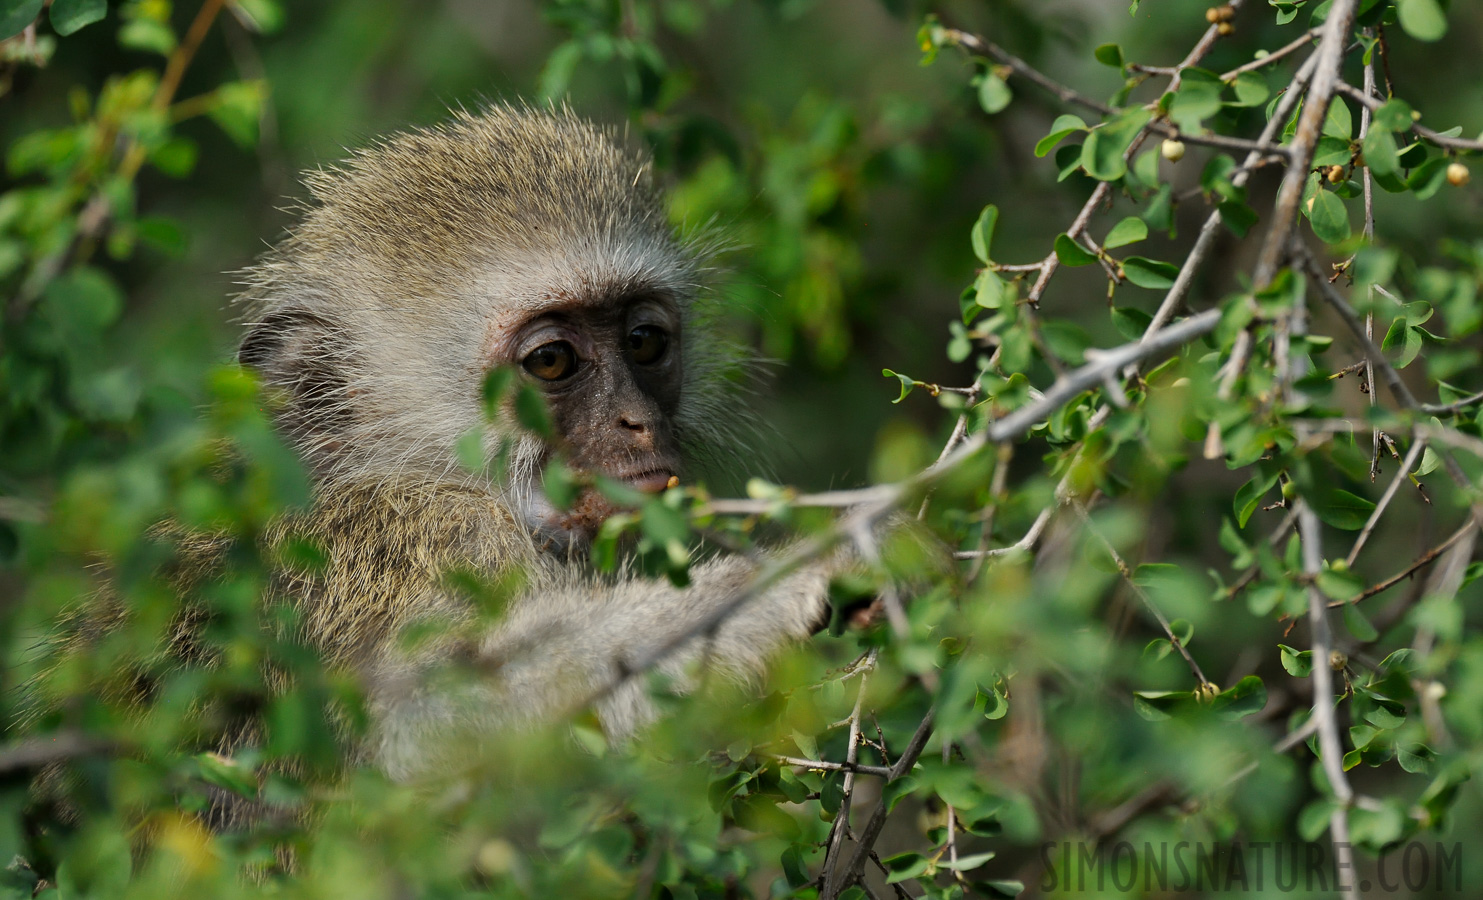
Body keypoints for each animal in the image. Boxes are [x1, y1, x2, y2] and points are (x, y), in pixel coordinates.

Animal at [234, 107, 836, 782]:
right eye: (551, 360)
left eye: (644, 341)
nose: (638, 421)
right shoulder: (437, 535)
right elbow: (431, 726)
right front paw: (789, 582)